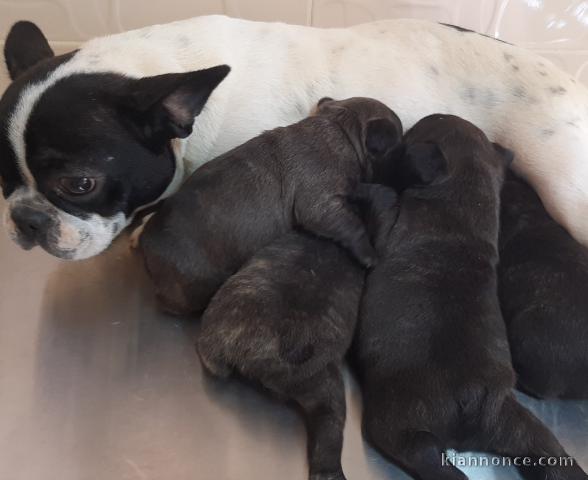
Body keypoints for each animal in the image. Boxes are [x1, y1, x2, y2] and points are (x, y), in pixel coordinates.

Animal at [140, 97, 402, 316]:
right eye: (396, 147)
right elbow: (353, 227)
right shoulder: (323, 205)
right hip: (191, 286)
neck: (340, 127)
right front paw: (369, 254)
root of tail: (147, 241)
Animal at [352, 115, 584, 480]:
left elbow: (383, 200)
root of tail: (473, 399)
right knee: (546, 450)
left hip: (399, 421)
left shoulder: (389, 225)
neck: (465, 195)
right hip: (521, 428)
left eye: (411, 136)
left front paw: (364, 188)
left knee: (424, 457)